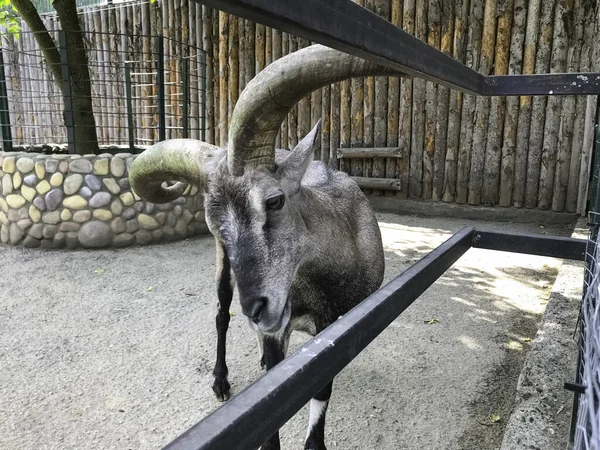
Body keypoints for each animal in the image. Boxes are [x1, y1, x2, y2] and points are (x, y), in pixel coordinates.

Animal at [130, 43, 404, 450]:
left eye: (274, 201)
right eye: (212, 222)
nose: (257, 309)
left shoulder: (334, 326)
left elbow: (320, 389)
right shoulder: (278, 329)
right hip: (224, 273)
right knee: (221, 314)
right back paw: (221, 379)